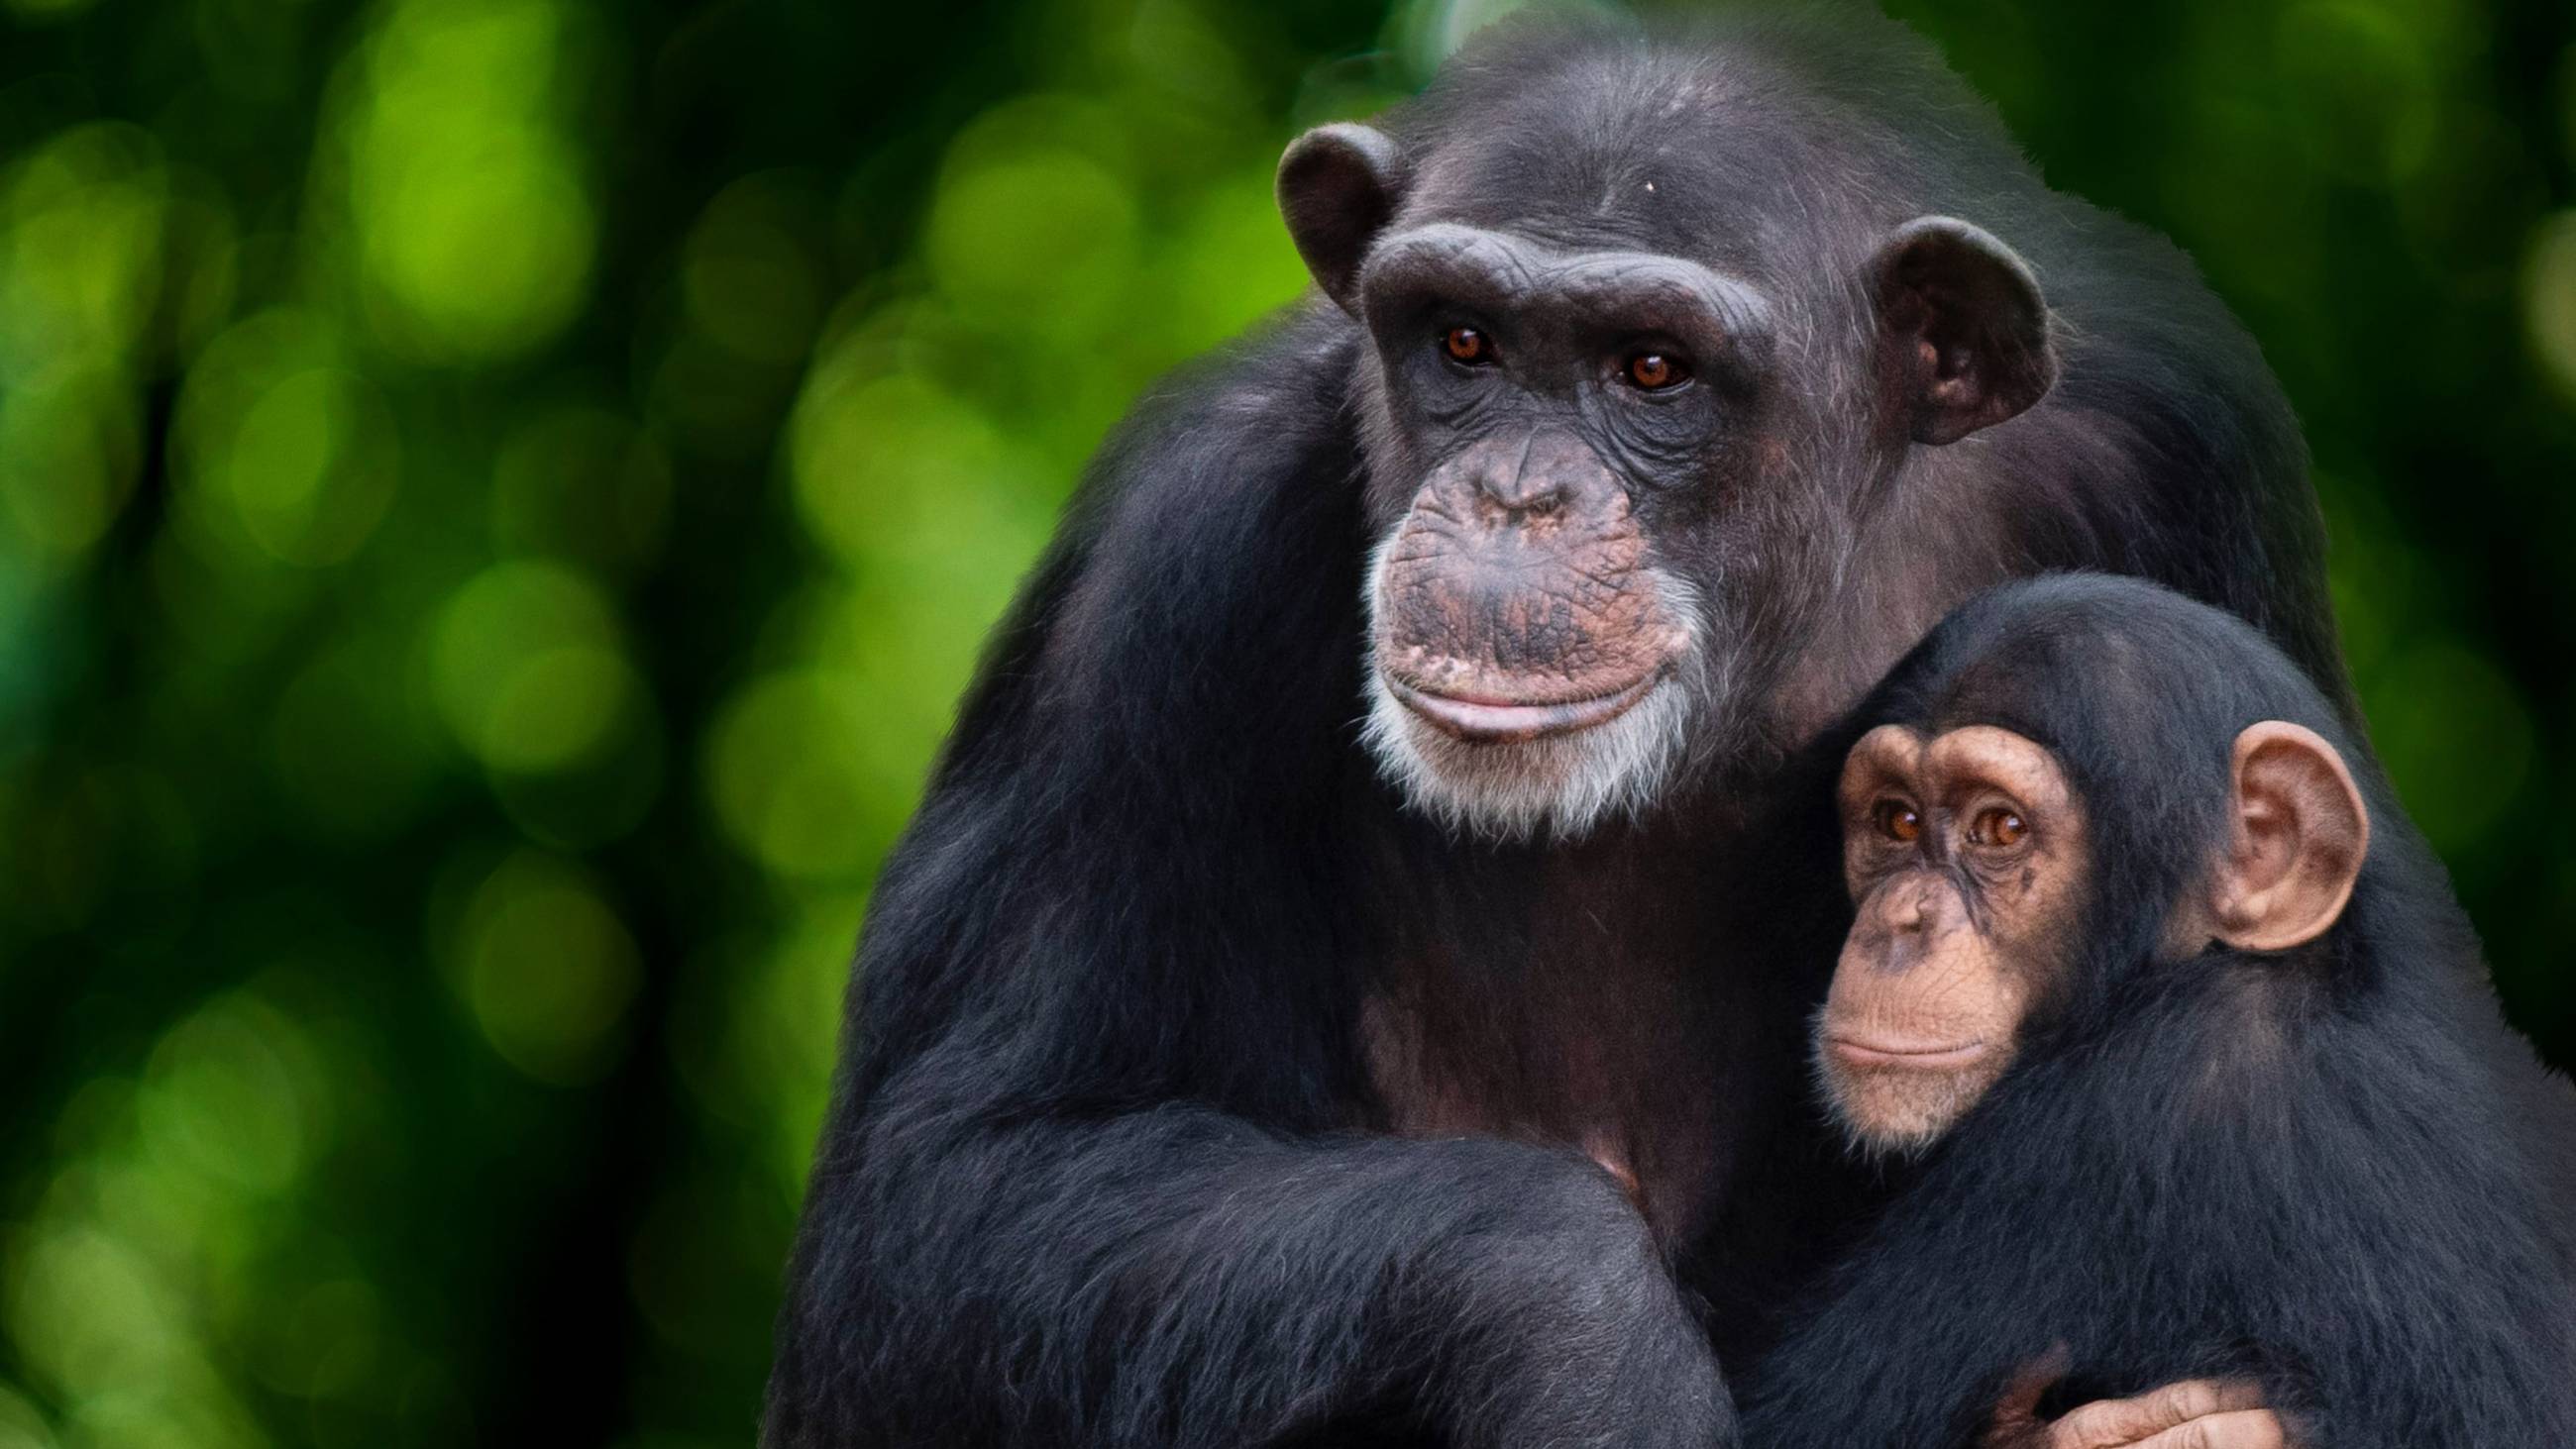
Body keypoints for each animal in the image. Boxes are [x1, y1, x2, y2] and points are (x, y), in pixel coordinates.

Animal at [762, 11, 2359, 1449]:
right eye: (1462, 341)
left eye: (1651, 367)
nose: (1515, 494)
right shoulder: (1167, 560)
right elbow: (942, 1204)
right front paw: (1590, 1345)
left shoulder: (2187, 450)